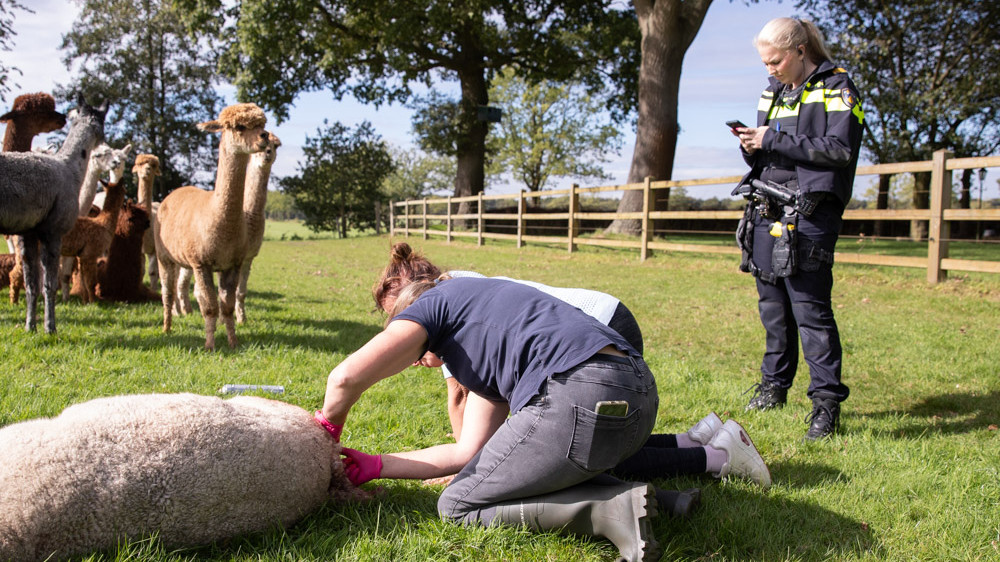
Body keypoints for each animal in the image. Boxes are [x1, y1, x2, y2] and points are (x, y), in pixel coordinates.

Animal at [154, 103, 270, 348]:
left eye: (262, 124)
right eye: (239, 126)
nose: (264, 137)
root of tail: (172, 194)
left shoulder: (232, 262)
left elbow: (226, 306)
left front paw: (233, 342)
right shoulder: (201, 261)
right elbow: (209, 307)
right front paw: (210, 345)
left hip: (184, 259)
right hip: (164, 255)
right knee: (167, 293)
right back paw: (166, 327)